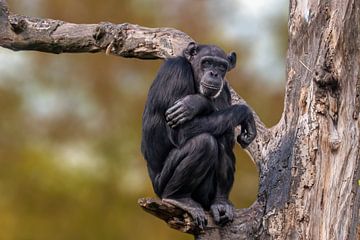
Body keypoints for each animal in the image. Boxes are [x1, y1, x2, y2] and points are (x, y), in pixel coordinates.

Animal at [141, 41, 256, 229]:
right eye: (207, 62)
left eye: (221, 66)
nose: (214, 73)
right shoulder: (176, 72)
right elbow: (181, 131)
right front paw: (200, 103)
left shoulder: (224, 90)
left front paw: (196, 103)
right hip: (161, 185)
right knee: (204, 142)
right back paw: (178, 198)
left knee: (221, 134)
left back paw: (220, 202)